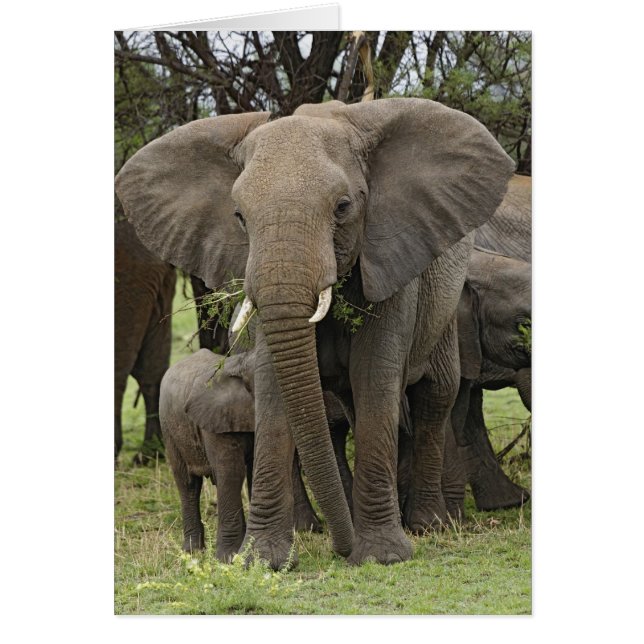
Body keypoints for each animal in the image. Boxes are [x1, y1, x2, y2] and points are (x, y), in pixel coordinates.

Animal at [160, 348, 352, 561]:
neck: (240, 365)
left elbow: (255, 471)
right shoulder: (215, 420)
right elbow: (231, 472)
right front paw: (229, 558)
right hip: (169, 428)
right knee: (188, 483)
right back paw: (192, 551)